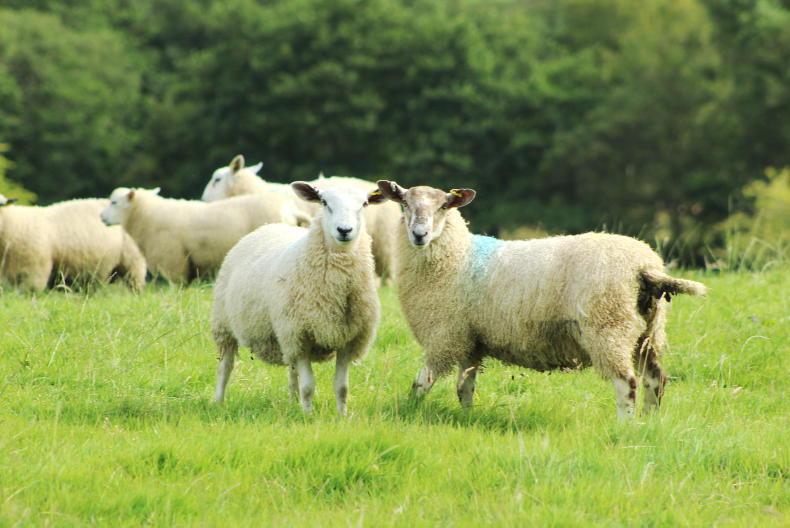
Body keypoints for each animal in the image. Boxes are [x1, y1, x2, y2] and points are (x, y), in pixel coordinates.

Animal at [211, 182, 387, 414]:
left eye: (364, 204)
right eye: (324, 202)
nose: (344, 230)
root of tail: (269, 226)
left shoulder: (347, 338)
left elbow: (342, 387)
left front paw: (342, 415)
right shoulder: (300, 335)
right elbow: (308, 386)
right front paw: (308, 416)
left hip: (284, 336)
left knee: (292, 370)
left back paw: (293, 401)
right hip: (225, 325)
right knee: (225, 366)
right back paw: (218, 401)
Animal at [376, 181, 707, 419]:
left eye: (445, 205)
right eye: (404, 203)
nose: (419, 234)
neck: (457, 256)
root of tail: (644, 267)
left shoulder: (445, 336)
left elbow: (422, 382)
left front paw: (406, 412)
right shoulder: (470, 340)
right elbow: (464, 388)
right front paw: (468, 418)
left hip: (609, 327)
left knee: (627, 384)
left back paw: (625, 427)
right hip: (646, 333)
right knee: (656, 380)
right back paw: (649, 424)